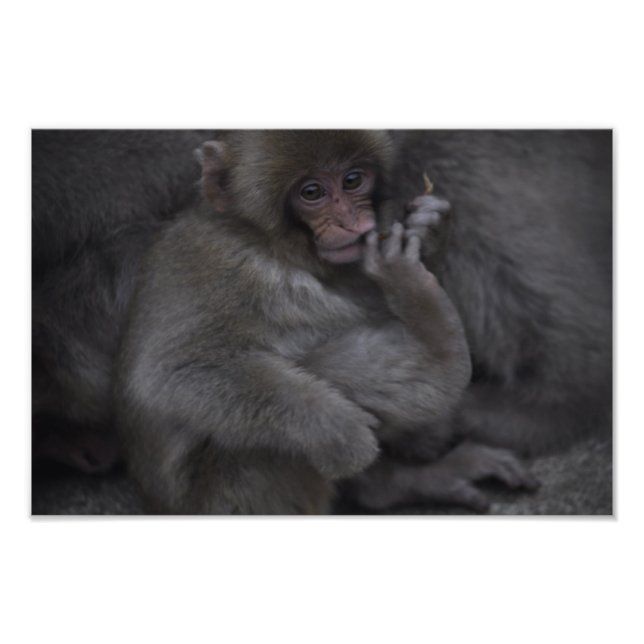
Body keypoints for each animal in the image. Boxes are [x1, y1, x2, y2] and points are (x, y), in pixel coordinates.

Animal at [113, 130, 538, 514]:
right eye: (312, 192)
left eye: (352, 180)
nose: (351, 220)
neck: (269, 246)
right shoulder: (219, 268)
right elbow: (173, 373)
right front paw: (337, 431)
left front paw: (430, 231)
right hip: (232, 494)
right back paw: (437, 340)